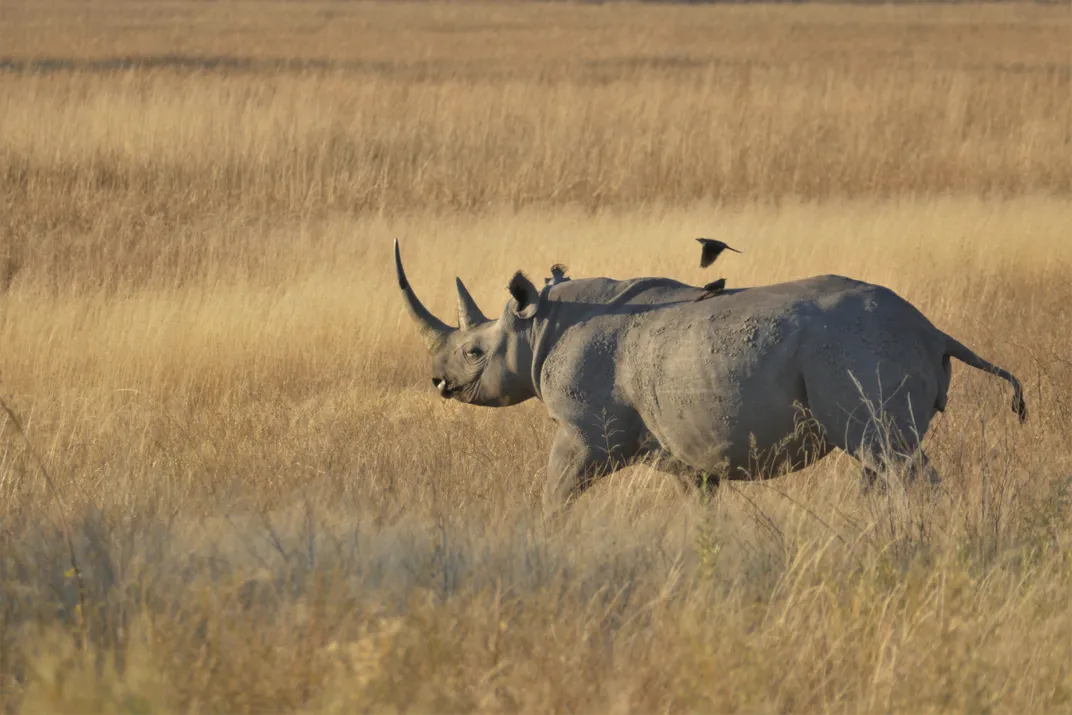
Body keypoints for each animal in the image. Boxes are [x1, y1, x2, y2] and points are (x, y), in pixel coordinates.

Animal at [393, 240, 1026, 511]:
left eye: (473, 352)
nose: (437, 382)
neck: (539, 325)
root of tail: (935, 332)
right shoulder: (690, 447)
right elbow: (699, 505)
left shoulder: (585, 432)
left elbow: (555, 491)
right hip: (872, 349)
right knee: (879, 459)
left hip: (862, 348)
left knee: (888, 454)